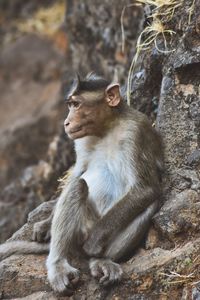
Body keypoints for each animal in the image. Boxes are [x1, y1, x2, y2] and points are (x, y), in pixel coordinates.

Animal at [0, 73, 163, 296]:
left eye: (76, 104)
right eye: (70, 104)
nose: (67, 122)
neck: (108, 127)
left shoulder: (137, 131)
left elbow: (145, 188)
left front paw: (94, 242)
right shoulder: (81, 139)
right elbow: (77, 172)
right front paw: (45, 224)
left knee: (150, 203)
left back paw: (98, 260)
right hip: (79, 229)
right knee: (77, 187)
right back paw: (58, 265)